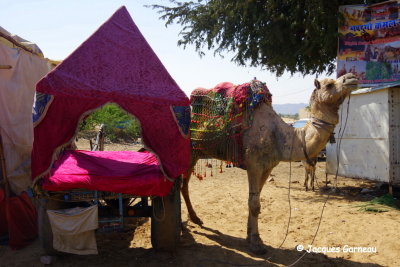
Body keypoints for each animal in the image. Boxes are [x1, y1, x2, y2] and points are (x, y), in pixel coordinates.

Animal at [183, 73, 358, 255]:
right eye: (329, 85)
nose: (351, 77)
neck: (283, 136)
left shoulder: (268, 167)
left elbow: (254, 200)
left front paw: (251, 236)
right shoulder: (253, 164)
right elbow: (254, 204)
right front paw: (256, 243)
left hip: (196, 154)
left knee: (184, 185)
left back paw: (195, 219)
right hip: (190, 152)